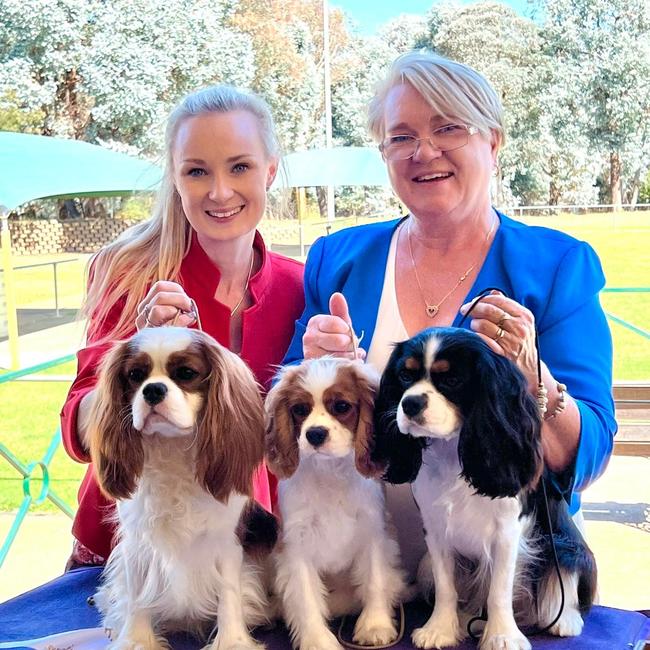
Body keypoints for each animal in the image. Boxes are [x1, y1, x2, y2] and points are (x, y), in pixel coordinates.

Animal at [86, 326, 274, 648]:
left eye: (186, 373)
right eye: (135, 375)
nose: (153, 389)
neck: (170, 447)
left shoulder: (226, 543)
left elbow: (229, 595)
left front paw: (232, 641)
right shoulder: (137, 544)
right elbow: (136, 596)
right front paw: (135, 639)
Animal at [264, 356, 404, 644]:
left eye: (341, 406)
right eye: (299, 409)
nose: (315, 433)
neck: (329, 471)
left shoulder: (373, 531)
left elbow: (375, 580)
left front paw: (375, 626)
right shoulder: (296, 545)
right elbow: (305, 597)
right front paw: (317, 640)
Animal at [372, 330, 596, 648]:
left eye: (452, 380)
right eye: (404, 376)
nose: (410, 403)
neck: (452, 449)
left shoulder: (507, 532)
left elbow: (499, 591)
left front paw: (502, 636)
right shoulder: (436, 530)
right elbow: (446, 587)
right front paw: (440, 629)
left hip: (565, 546)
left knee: (564, 579)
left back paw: (565, 620)